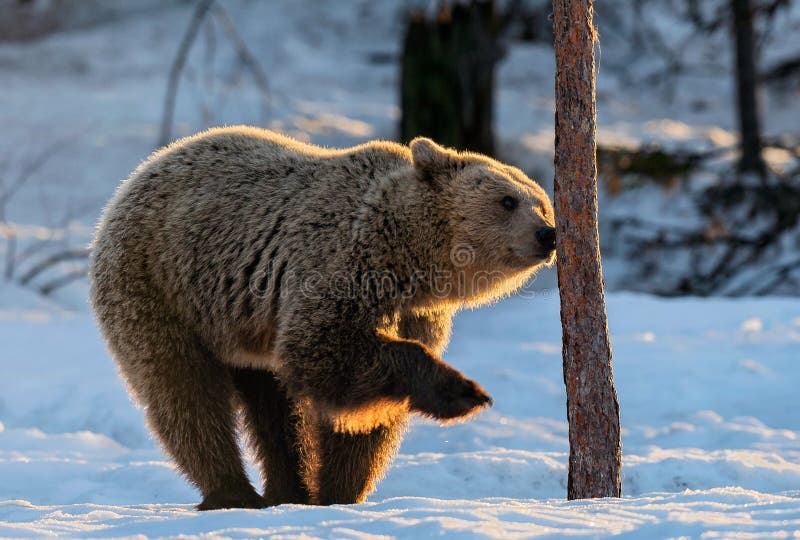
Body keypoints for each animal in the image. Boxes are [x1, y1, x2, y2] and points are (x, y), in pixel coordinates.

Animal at [87, 126, 552, 510]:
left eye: (542, 204)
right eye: (507, 200)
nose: (548, 234)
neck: (409, 263)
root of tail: (135, 178)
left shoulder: (416, 313)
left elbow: (361, 422)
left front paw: (341, 492)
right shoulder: (338, 269)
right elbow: (325, 353)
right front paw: (461, 391)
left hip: (246, 332)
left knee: (272, 408)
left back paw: (287, 490)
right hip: (160, 285)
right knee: (184, 391)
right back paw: (232, 493)